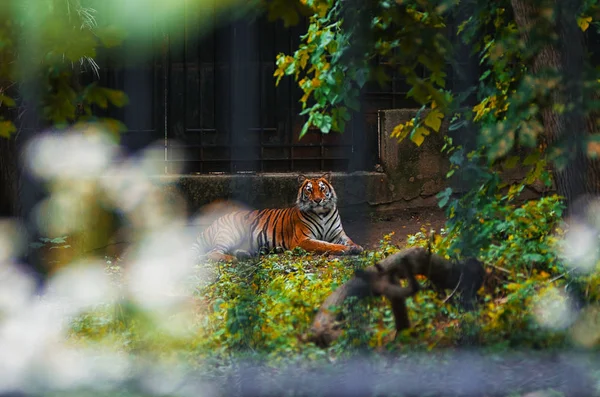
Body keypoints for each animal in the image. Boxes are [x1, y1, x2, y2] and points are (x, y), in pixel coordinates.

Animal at [192, 172, 364, 260]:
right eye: (309, 190)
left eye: (322, 188)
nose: (317, 200)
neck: (322, 212)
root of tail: (214, 222)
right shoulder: (302, 239)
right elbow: (324, 245)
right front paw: (345, 250)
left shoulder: (338, 234)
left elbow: (349, 240)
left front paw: (356, 247)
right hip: (230, 234)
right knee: (212, 253)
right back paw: (234, 259)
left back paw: (244, 255)